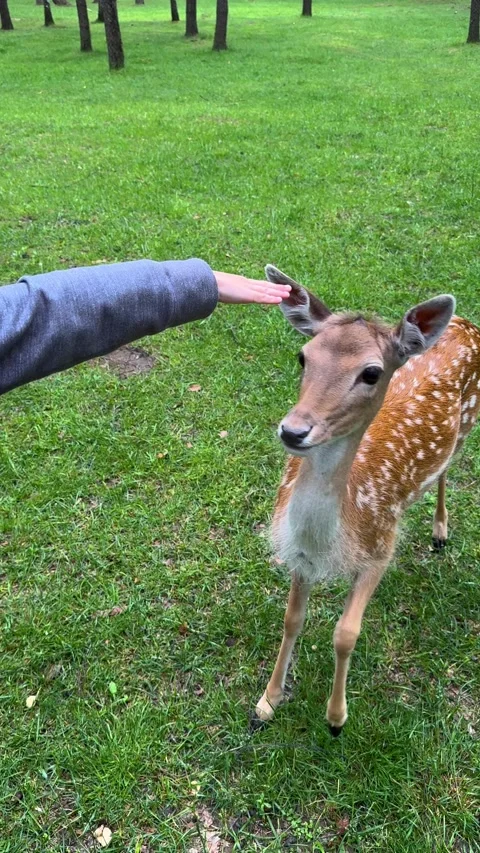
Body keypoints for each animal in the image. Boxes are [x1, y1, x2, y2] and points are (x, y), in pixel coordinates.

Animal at [254, 266, 480, 735]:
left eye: (372, 373)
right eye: (303, 356)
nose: (293, 431)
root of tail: (466, 322)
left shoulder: (381, 546)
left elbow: (345, 633)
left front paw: (336, 718)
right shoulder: (299, 554)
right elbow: (292, 620)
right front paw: (266, 702)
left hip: (470, 424)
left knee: (448, 468)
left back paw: (440, 531)